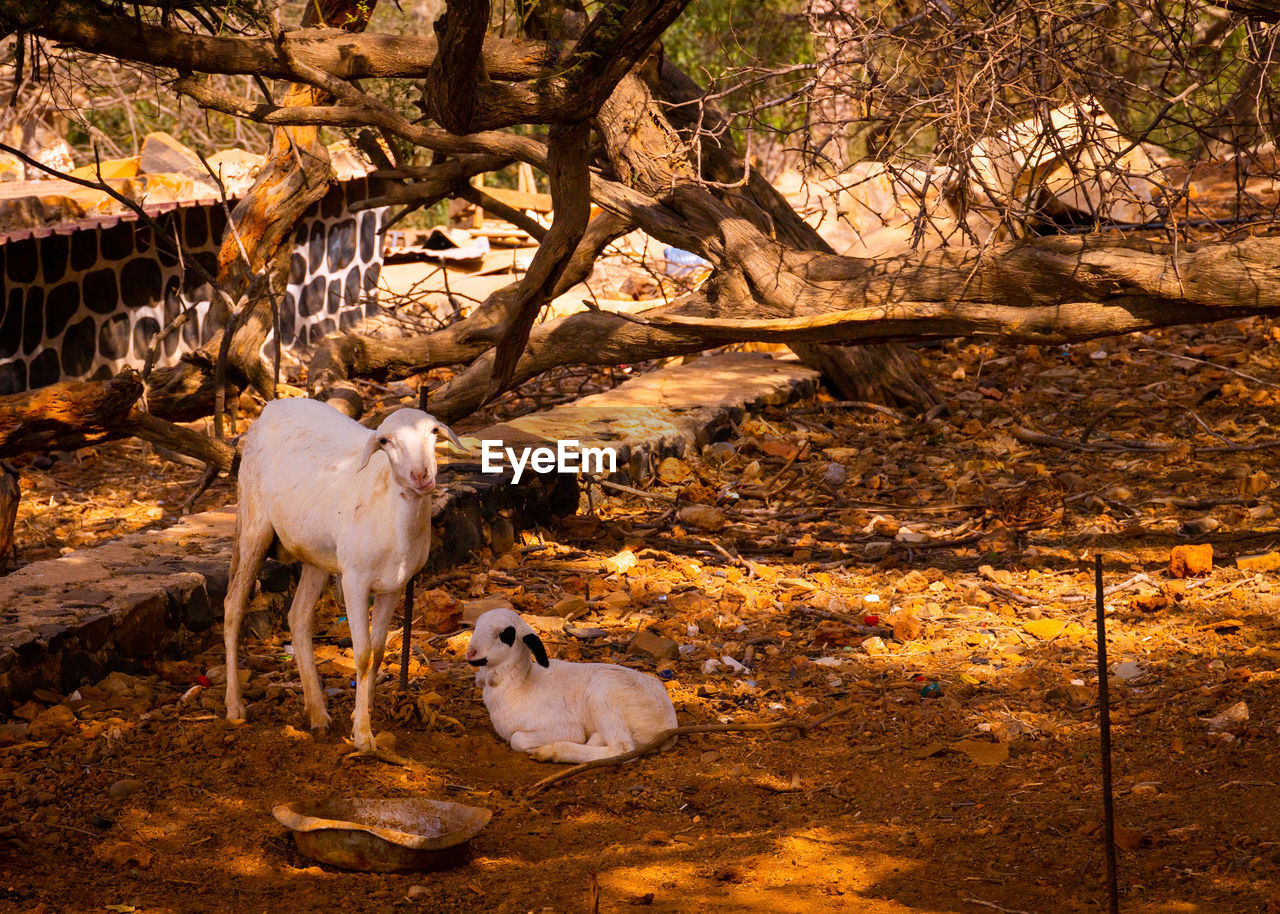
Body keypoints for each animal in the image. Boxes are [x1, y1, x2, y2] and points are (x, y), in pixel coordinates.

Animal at [225, 394, 465, 752]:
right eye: (385, 441)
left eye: (434, 431)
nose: (421, 476)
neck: (393, 517)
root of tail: (271, 407)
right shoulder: (354, 579)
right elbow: (363, 654)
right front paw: (363, 735)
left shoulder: (395, 587)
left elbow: (378, 652)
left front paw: (361, 716)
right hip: (254, 521)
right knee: (233, 606)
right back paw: (235, 706)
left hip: (316, 553)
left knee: (298, 616)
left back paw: (317, 712)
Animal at [463, 604, 680, 762]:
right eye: (477, 626)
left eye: (505, 635)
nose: (471, 653)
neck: (521, 684)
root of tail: (669, 720)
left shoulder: (564, 727)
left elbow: (517, 739)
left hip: (603, 692)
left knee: (623, 750)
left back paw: (552, 751)